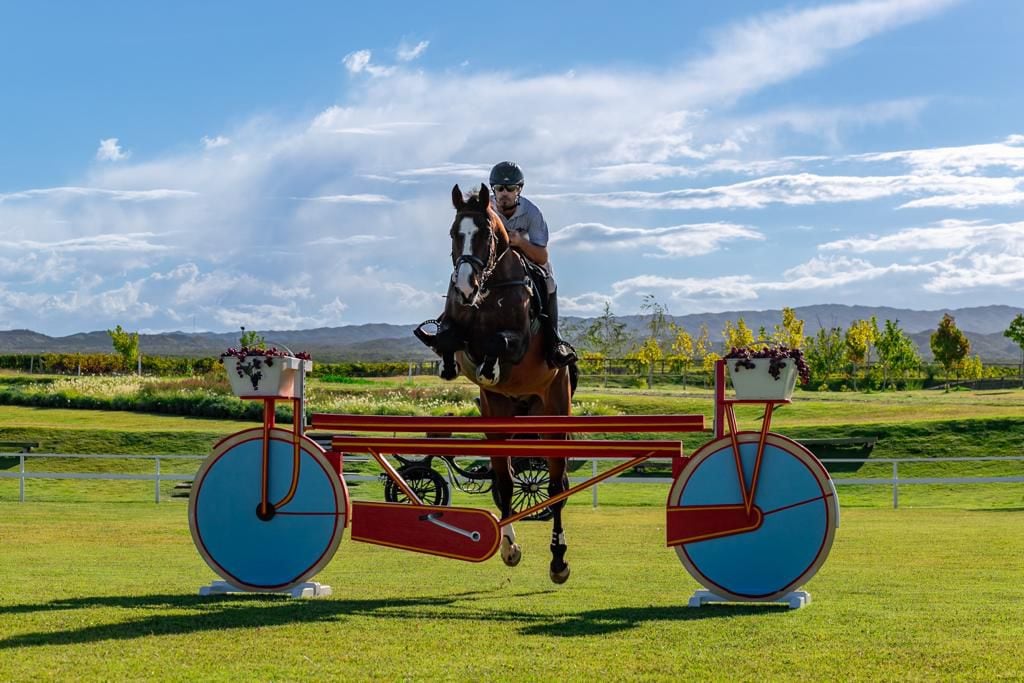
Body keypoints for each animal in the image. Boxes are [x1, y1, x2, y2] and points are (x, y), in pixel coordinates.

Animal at [421, 184, 577, 585]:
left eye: (487, 235)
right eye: (453, 233)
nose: (464, 286)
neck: (490, 285)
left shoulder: (517, 342)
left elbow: (497, 342)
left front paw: (490, 366)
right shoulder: (460, 330)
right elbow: (450, 337)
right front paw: (446, 359)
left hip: (555, 410)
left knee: (556, 487)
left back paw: (558, 561)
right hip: (501, 413)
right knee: (505, 482)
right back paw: (510, 547)